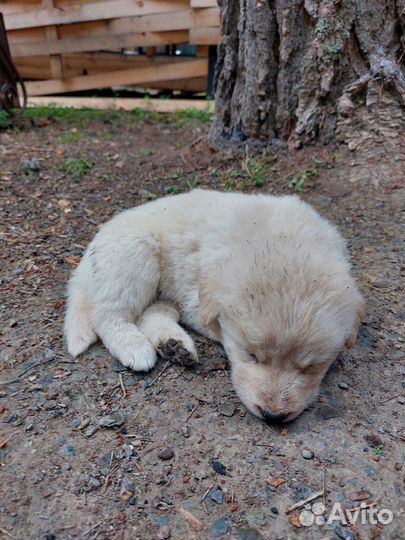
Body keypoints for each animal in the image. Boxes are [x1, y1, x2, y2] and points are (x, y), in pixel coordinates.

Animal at [64, 192, 362, 424]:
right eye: (252, 355)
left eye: (311, 367)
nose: (273, 416)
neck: (284, 244)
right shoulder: (196, 296)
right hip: (134, 256)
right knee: (108, 314)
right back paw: (135, 348)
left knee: (149, 313)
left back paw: (174, 345)